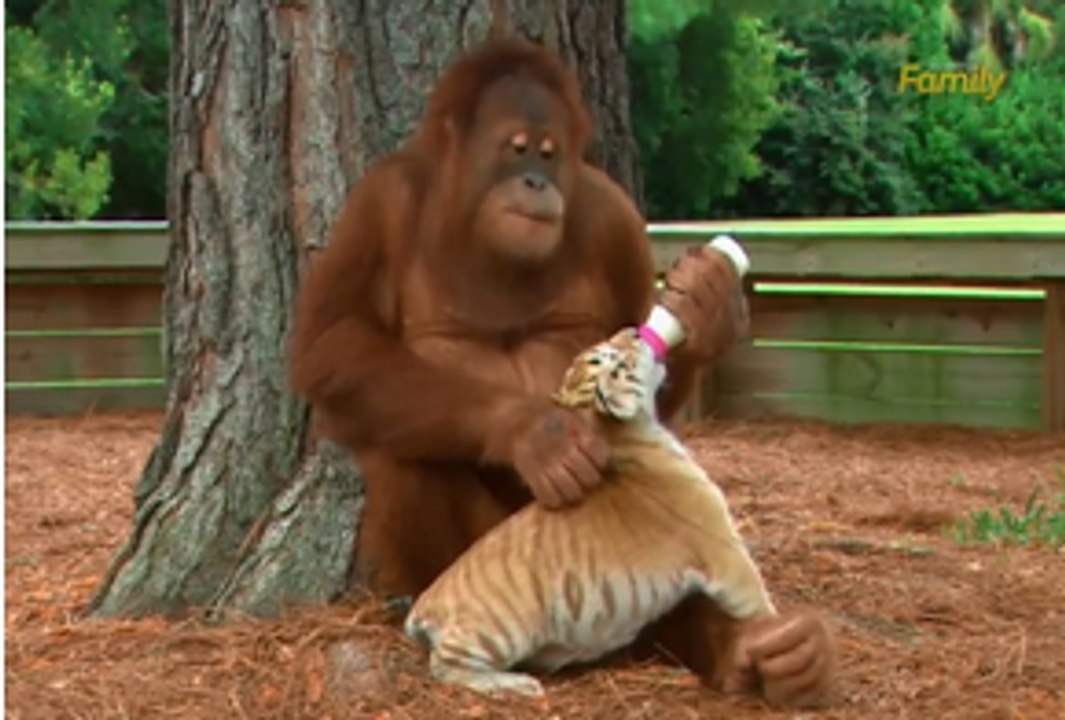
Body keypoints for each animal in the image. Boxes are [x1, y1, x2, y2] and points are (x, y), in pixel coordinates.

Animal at [403, 327, 777, 697]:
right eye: (611, 358)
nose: (635, 331)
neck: (624, 434)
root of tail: (425, 603)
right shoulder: (725, 555)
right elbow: (761, 603)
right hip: (496, 631)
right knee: (445, 666)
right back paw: (516, 684)